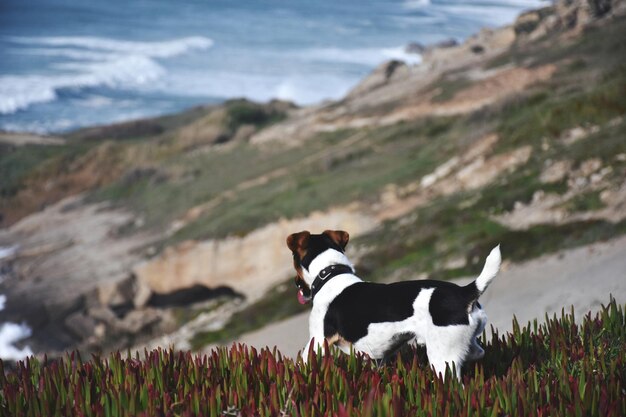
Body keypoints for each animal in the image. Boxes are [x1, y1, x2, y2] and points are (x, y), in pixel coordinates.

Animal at [286, 229, 500, 378]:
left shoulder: (317, 341)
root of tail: (465, 292)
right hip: (464, 346)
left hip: (442, 360)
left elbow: (302, 362)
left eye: (294, 260)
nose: (295, 283)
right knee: (477, 353)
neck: (331, 273)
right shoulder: (375, 359)